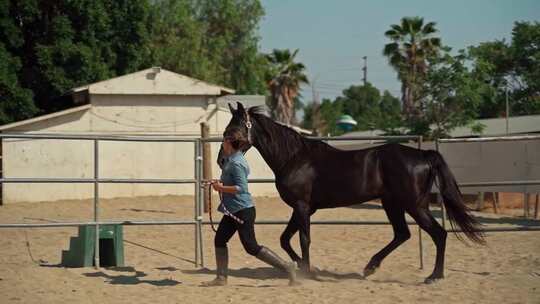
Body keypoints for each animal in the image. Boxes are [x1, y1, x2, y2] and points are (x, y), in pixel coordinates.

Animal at [219, 103, 486, 284]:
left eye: (232, 132)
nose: (222, 160)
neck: (294, 158)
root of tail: (423, 155)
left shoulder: (303, 207)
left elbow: (303, 239)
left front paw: (308, 272)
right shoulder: (303, 208)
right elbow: (285, 239)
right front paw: (305, 268)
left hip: (414, 205)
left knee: (438, 234)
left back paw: (433, 276)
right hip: (393, 204)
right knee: (403, 234)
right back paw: (370, 267)